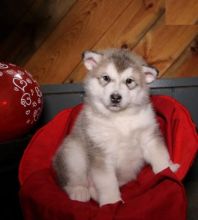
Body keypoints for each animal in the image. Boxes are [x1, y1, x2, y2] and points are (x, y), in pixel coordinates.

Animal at [52, 48, 179, 206]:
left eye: (129, 81)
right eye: (106, 78)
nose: (116, 97)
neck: (120, 119)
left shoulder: (148, 136)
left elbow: (159, 155)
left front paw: (167, 169)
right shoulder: (101, 153)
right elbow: (107, 182)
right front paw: (111, 201)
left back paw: (94, 193)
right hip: (72, 154)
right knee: (70, 180)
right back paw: (79, 192)